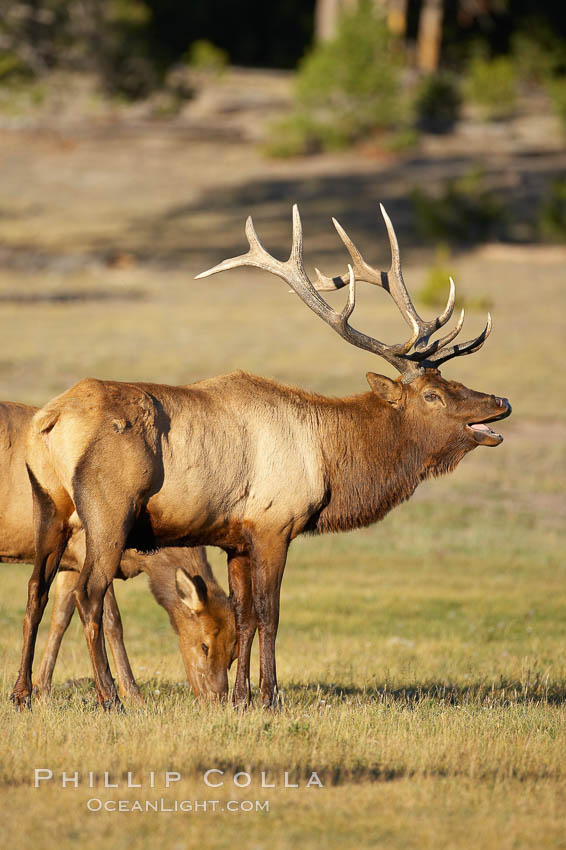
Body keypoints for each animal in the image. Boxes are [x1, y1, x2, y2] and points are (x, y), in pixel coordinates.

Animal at [0, 400, 237, 700]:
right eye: (205, 644)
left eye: (234, 654)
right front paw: (131, 691)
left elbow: (60, 618)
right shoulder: (85, 547)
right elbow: (112, 620)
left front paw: (42, 687)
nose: (216, 697)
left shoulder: (70, 563)